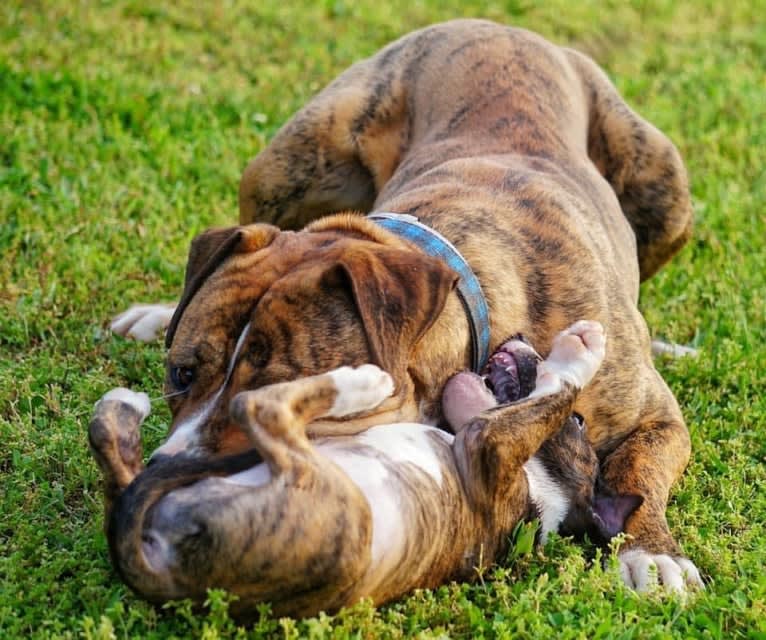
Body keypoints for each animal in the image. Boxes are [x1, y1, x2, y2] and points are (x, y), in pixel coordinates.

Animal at [88, 320, 640, 620]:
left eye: (578, 422)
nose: (522, 334)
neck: (543, 499)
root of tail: (164, 574)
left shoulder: (489, 446)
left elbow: (558, 388)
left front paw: (582, 349)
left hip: (325, 490)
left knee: (260, 408)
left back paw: (359, 384)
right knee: (118, 457)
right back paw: (126, 405)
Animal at [112, 18, 704, 592]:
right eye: (181, 375)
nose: (158, 471)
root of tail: (506, 28)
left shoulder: (656, 419)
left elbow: (637, 470)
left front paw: (654, 553)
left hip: (666, 188)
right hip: (282, 166)